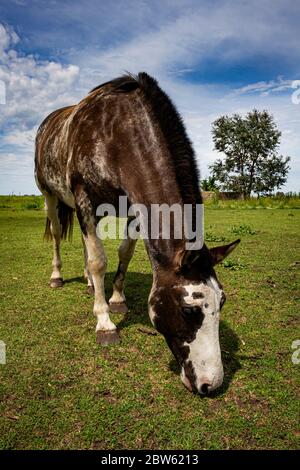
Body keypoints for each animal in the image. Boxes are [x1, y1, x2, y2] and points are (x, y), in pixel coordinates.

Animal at [34, 73, 239, 394]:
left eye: (222, 301)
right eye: (189, 310)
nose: (212, 383)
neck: (115, 131)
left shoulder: (131, 206)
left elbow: (124, 253)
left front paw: (116, 299)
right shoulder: (83, 199)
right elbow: (99, 261)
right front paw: (105, 322)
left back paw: (90, 284)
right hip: (51, 196)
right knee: (57, 234)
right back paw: (58, 277)